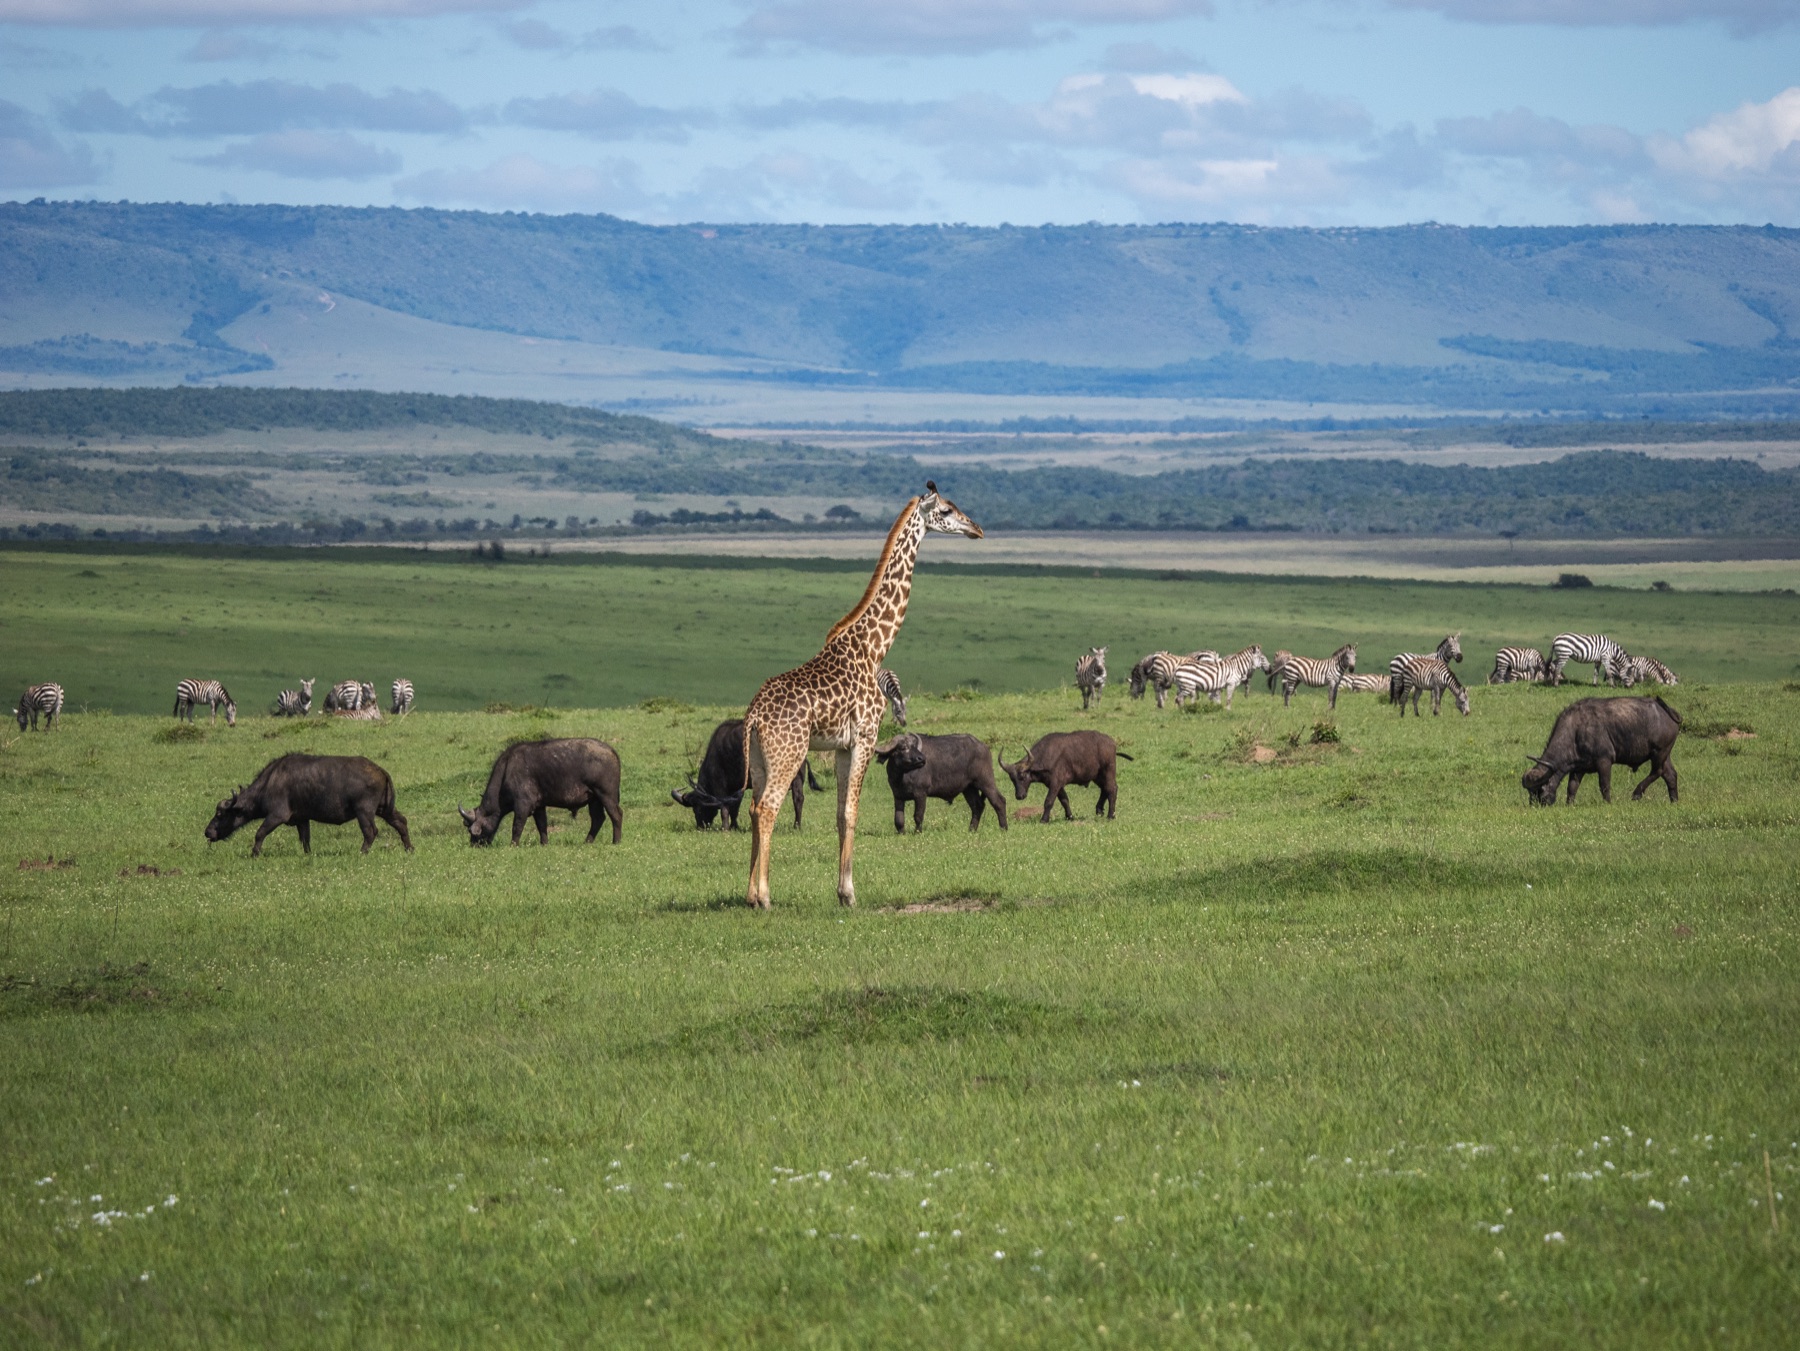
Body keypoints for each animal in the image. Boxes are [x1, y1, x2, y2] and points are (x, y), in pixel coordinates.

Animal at [742, 482, 983, 909]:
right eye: (947, 510)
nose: (977, 529)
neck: (874, 646)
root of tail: (754, 715)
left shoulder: (841, 745)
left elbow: (840, 814)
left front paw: (841, 890)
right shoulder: (867, 736)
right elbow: (853, 812)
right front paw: (850, 893)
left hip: (758, 757)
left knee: (754, 807)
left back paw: (749, 895)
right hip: (789, 752)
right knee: (768, 807)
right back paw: (765, 897)